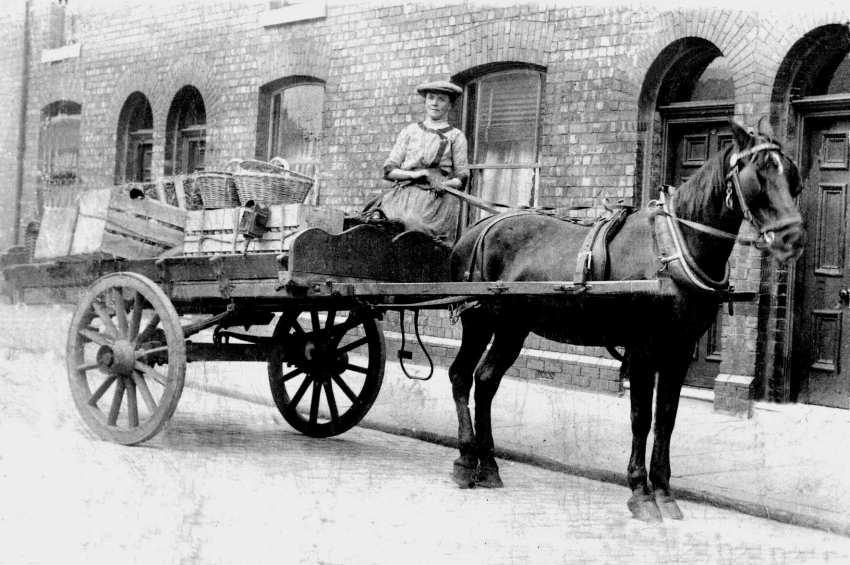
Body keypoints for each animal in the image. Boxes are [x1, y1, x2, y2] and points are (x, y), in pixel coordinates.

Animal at [448, 119, 804, 520]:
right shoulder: (643, 349)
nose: (793, 238)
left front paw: (664, 491)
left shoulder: (679, 351)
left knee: (485, 380)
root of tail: (478, 227)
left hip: (512, 328)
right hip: (479, 323)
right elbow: (641, 417)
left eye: (793, 178)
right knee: (461, 376)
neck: (671, 248)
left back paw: (489, 466)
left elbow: (666, 418)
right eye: (759, 175)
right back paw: (465, 461)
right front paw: (641, 492)